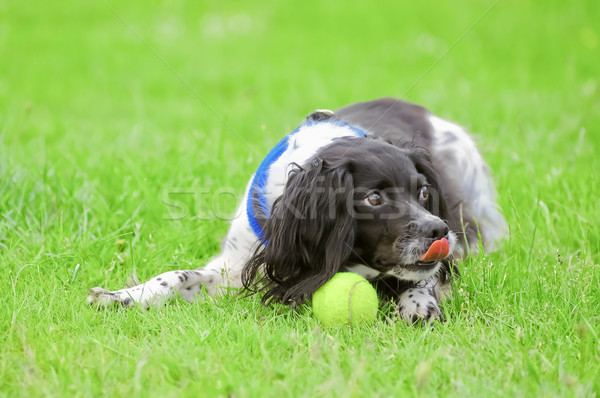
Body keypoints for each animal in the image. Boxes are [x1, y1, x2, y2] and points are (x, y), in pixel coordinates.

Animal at [89, 98, 508, 324]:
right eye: (373, 199)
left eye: (423, 192)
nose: (439, 231)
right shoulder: (236, 266)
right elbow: (177, 276)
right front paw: (123, 296)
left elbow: (422, 278)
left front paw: (420, 304)